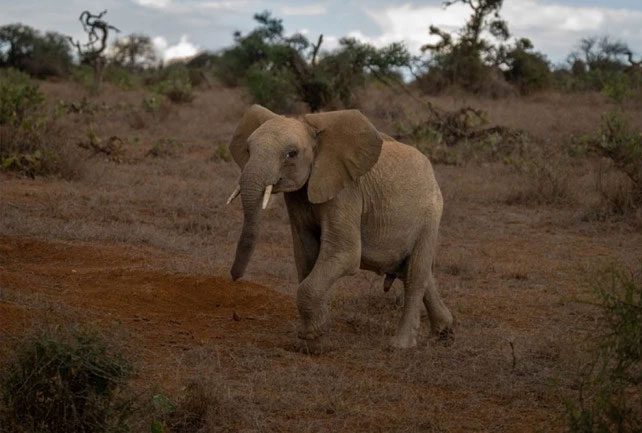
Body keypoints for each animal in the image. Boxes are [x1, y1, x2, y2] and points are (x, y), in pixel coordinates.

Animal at [225, 104, 450, 348]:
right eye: (248, 150)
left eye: (291, 154)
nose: (234, 278)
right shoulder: (299, 196)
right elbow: (306, 253)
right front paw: (315, 334)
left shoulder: (347, 192)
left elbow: (344, 253)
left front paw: (313, 335)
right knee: (415, 271)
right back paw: (444, 332)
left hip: (430, 214)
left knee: (416, 274)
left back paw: (400, 346)